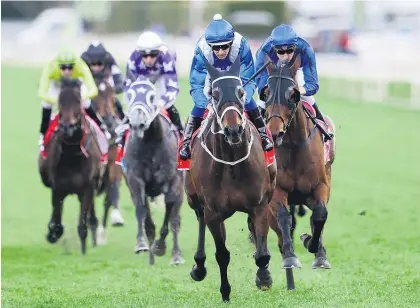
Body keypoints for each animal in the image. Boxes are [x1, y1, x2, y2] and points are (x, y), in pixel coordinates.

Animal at [37, 79, 104, 255]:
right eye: (60, 101)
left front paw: (83, 252)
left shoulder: (87, 188)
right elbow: (56, 223)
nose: (67, 127)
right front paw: (51, 234)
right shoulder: (58, 189)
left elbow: (82, 226)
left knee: (91, 216)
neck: (72, 155)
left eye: (78, 101)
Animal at [122, 76, 183, 264]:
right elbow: (142, 212)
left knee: (175, 217)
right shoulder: (135, 181)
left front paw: (165, 249)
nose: (137, 124)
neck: (150, 142)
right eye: (130, 94)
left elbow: (171, 213)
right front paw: (147, 248)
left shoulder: (173, 180)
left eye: (151, 96)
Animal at [185, 57, 278, 300]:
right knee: (199, 218)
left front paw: (264, 278)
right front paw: (225, 291)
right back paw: (199, 266)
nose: (233, 129)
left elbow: (262, 253)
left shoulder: (259, 205)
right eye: (215, 94)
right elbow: (222, 254)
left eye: (241, 92)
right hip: (193, 198)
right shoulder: (213, 213)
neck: (232, 163)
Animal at [264, 55, 336, 270]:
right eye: (266, 92)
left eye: (292, 95)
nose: (275, 133)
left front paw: (316, 250)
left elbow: (320, 215)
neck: (294, 147)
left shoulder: (321, 186)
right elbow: (284, 218)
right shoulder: (277, 190)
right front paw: (290, 256)